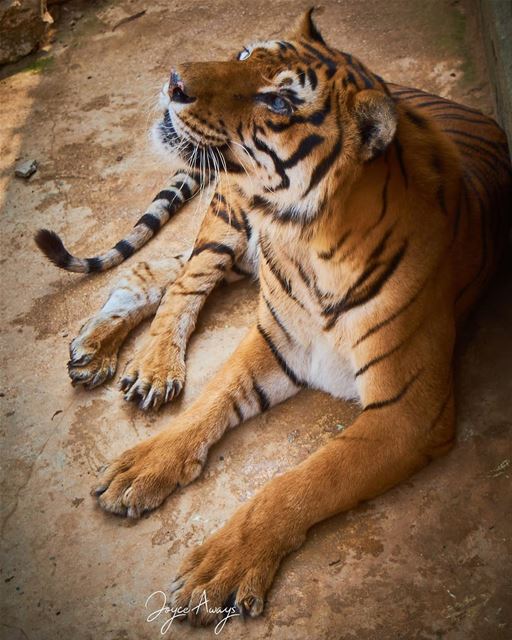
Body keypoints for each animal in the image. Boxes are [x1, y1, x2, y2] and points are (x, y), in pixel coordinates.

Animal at [34, 7, 510, 628]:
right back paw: (144, 365)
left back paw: (104, 350)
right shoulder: (275, 339)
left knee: (158, 269)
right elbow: (211, 400)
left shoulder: (409, 409)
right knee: (183, 280)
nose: (174, 82)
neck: (308, 241)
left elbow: (307, 480)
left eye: (280, 102)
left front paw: (220, 568)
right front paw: (144, 466)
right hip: (228, 213)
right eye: (242, 55)